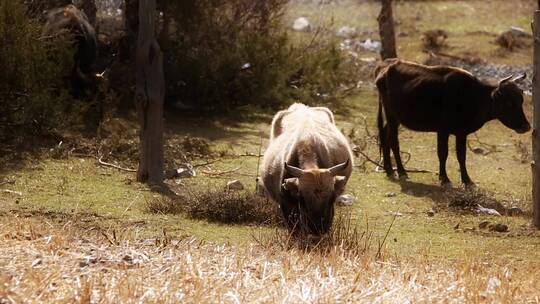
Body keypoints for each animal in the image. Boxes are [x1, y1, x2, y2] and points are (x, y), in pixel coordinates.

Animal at [374, 59, 528, 185]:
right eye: (509, 103)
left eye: (521, 99)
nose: (526, 126)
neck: (473, 96)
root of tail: (386, 66)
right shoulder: (442, 130)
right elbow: (443, 153)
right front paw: (444, 178)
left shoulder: (462, 133)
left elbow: (461, 156)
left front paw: (467, 180)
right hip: (392, 116)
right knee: (393, 141)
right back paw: (401, 172)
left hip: (395, 118)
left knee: (384, 137)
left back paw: (389, 170)